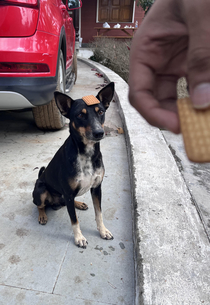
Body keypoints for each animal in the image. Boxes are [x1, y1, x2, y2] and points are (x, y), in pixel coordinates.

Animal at [32, 81, 115, 247]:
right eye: (80, 115)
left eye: (101, 112)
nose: (99, 133)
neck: (86, 153)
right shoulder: (69, 192)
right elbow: (74, 220)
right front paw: (79, 238)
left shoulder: (97, 188)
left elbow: (99, 213)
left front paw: (103, 231)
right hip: (41, 190)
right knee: (40, 205)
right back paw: (42, 215)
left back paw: (79, 203)